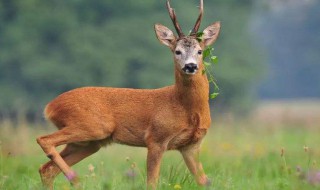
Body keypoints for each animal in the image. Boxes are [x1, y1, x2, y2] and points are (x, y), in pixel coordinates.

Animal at [35, 0, 220, 189]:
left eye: (199, 51)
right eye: (177, 51)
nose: (190, 66)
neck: (187, 108)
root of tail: (50, 107)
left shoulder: (191, 145)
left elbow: (203, 181)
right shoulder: (155, 138)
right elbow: (152, 182)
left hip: (88, 142)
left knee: (47, 169)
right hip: (92, 126)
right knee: (44, 140)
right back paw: (75, 179)